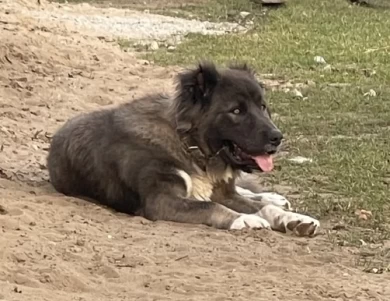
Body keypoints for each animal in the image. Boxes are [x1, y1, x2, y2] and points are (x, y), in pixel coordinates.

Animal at [46, 61, 320, 234]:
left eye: (262, 106)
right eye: (236, 111)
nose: (277, 137)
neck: (191, 147)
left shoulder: (224, 193)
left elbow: (262, 206)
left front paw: (293, 218)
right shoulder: (161, 200)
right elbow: (210, 206)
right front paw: (244, 219)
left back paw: (276, 198)